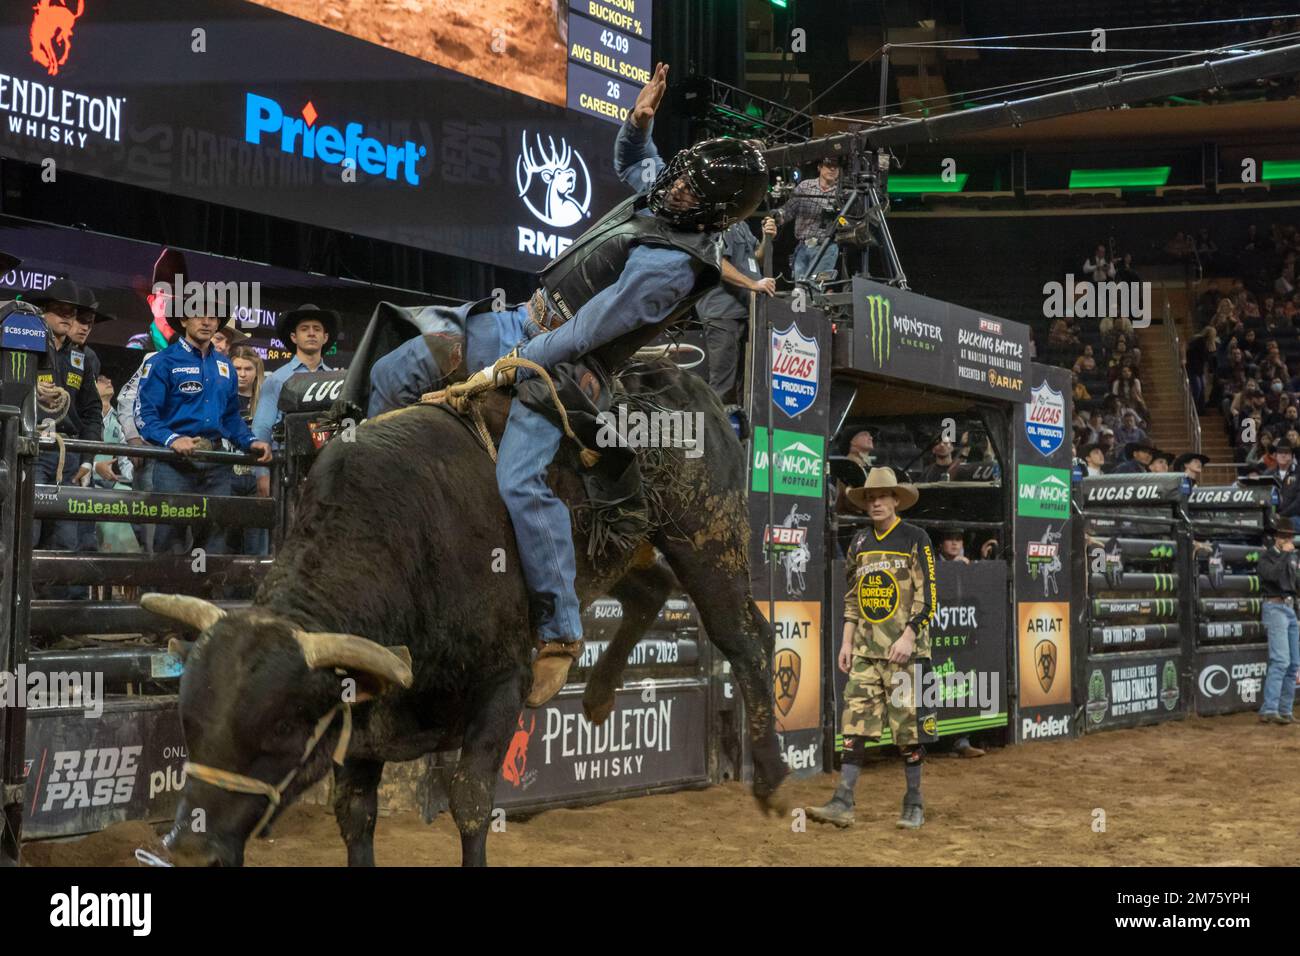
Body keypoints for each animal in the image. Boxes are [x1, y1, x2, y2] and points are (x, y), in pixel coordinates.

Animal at [147, 358, 785, 868]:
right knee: (650, 591)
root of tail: (677, 377)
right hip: (622, 547)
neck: (402, 546)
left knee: (744, 634)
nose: (188, 850)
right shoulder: (362, 727)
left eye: (283, 726)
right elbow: (356, 816)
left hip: (707, 536)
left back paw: (773, 780)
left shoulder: (499, 689)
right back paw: (600, 693)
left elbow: (472, 805)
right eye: (188, 720)